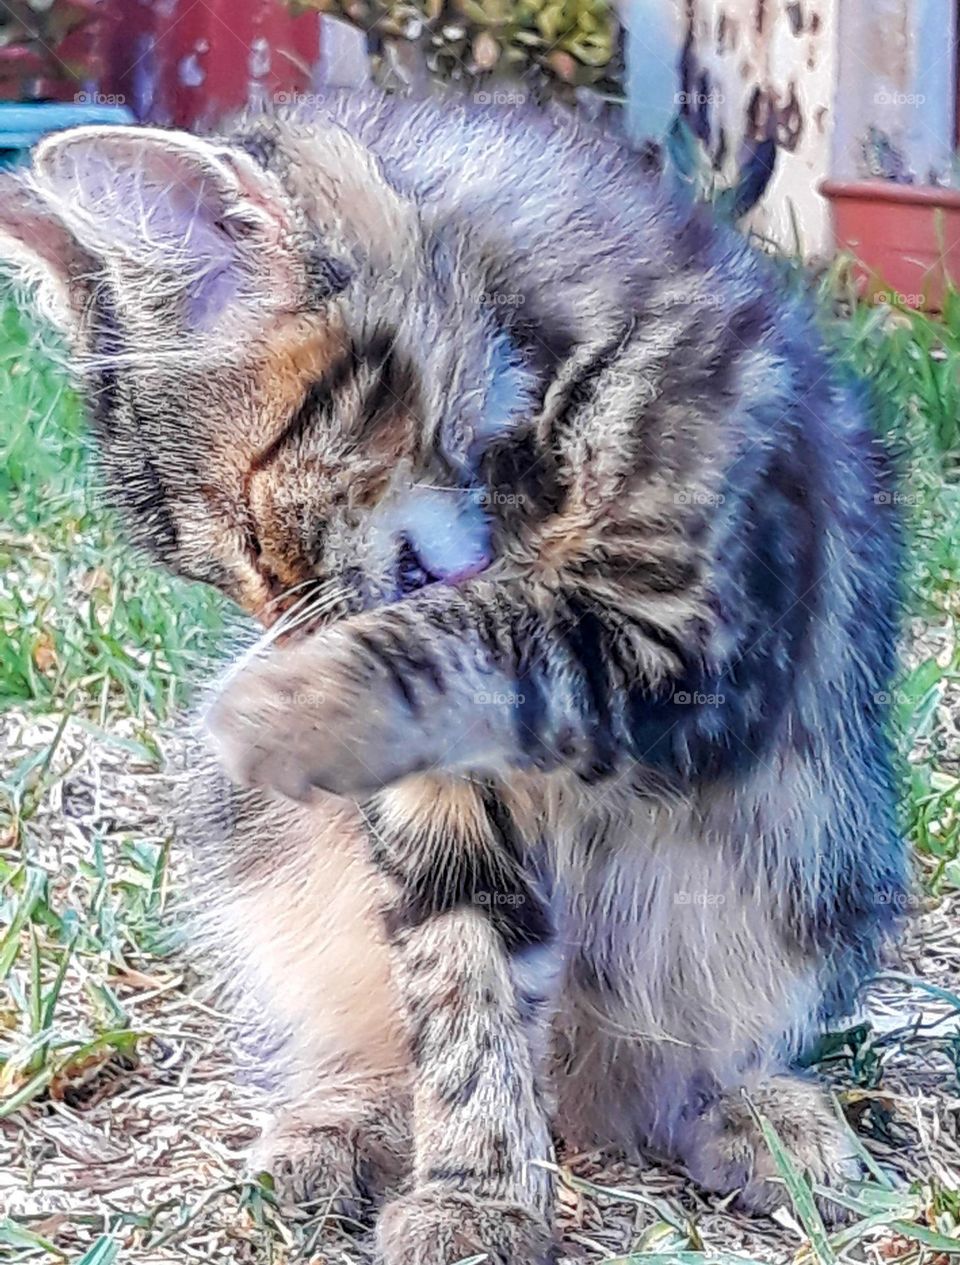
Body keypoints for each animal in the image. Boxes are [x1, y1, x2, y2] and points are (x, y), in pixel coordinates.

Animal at [0, 89, 905, 1265]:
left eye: (253, 520)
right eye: (217, 568)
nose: (274, 627)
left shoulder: (697, 642)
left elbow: (486, 632)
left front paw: (279, 694)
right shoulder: (438, 806)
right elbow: (463, 988)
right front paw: (479, 1192)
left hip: (820, 867)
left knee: (683, 1065)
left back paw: (762, 1112)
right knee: (395, 1037)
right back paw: (340, 1125)